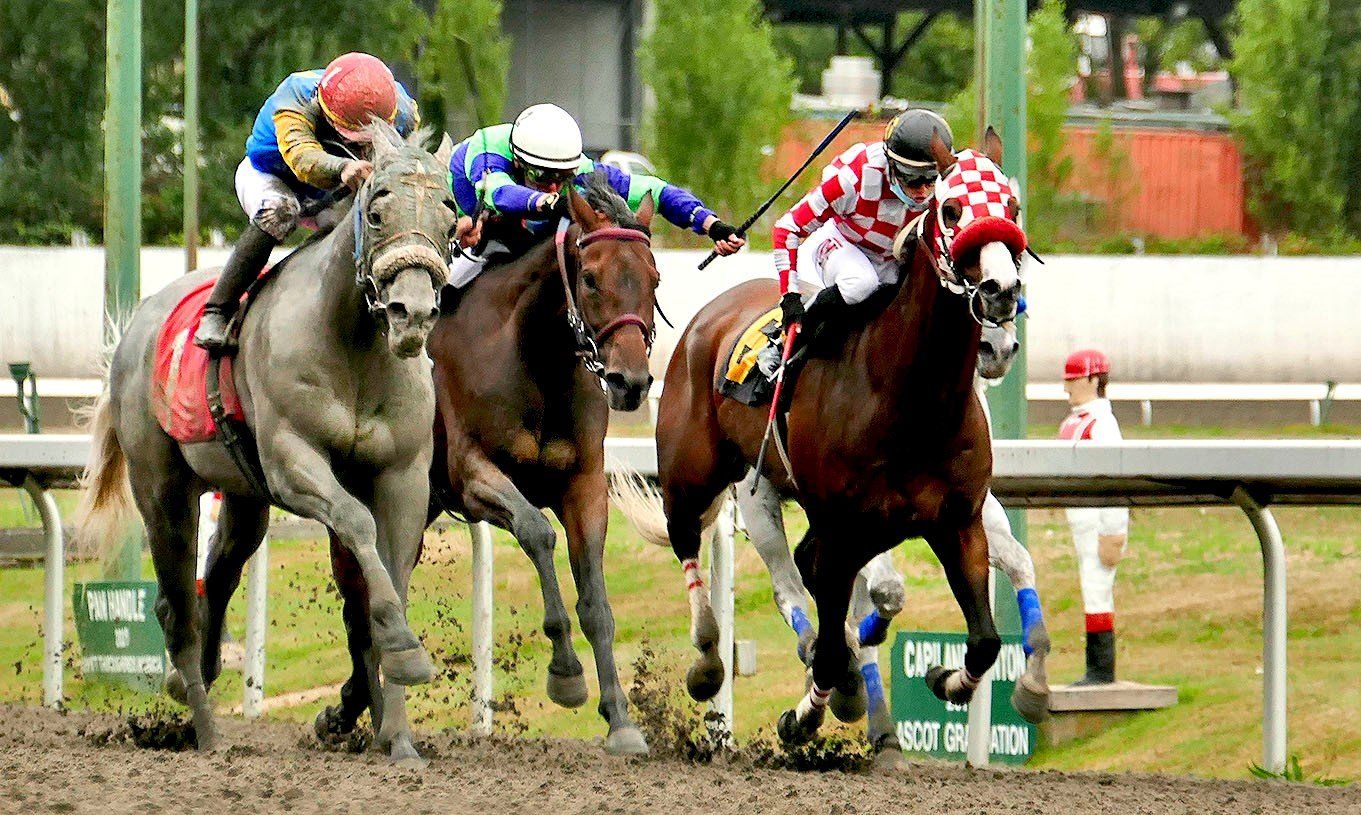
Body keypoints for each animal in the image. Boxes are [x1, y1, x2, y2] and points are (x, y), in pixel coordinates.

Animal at [75, 122, 457, 759]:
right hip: (162, 490)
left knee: (217, 577)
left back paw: (196, 682)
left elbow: (393, 572)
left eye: (451, 219)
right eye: (377, 213)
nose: (413, 313)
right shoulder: (291, 461)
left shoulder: (403, 475)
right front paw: (403, 649)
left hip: (242, 496)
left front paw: (400, 735)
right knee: (177, 607)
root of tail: (134, 330)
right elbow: (356, 522)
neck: (352, 345)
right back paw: (207, 733)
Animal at [314, 173, 659, 756]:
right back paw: (366, 713)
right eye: (590, 279)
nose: (630, 382)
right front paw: (566, 674)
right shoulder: (473, 476)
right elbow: (537, 531)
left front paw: (621, 722)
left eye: (654, 279)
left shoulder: (585, 484)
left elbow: (596, 603)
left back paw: (355, 709)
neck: (534, 357)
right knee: (360, 600)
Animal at [614, 129, 1028, 745]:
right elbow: (829, 638)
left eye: (1013, 209)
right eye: (952, 209)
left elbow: (984, 642)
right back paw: (708, 661)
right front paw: (803, 715)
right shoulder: (842, 527)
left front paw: (945, 679)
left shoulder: (956, 521)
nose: (1001, 291)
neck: (912, 397)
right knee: (694, 541)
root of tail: (708, 316)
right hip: (701, 476)